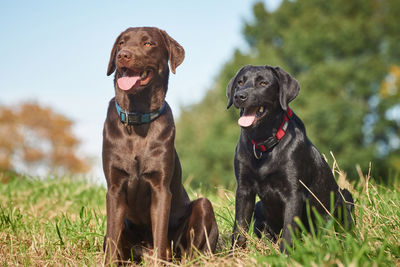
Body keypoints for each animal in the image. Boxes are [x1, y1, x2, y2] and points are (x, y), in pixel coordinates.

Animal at [227, 65, 354, 253]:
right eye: (240, 83)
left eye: (263, 83)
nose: (239, 96)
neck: (264, 144)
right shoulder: (244, 189)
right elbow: (239, 229)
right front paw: (232, 255)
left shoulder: (294, 192)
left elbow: (289, 230)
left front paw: (285, 256)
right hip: (259, 207)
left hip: (345, 196)